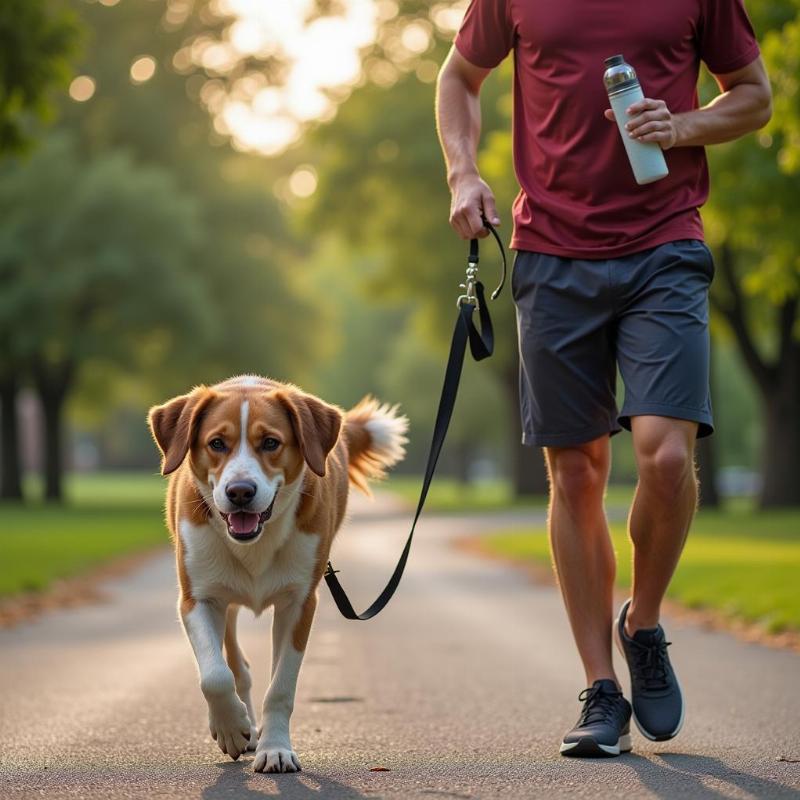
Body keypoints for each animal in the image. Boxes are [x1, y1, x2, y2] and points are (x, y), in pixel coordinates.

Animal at [147, 378, 406, 772]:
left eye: (270, 442)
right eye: (216, 443)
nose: (240, 492)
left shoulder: (299, 604)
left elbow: (281, 687)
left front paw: (276, 749)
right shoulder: (197, 599)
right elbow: (215, 675)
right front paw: (232, 727)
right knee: (234, 666)